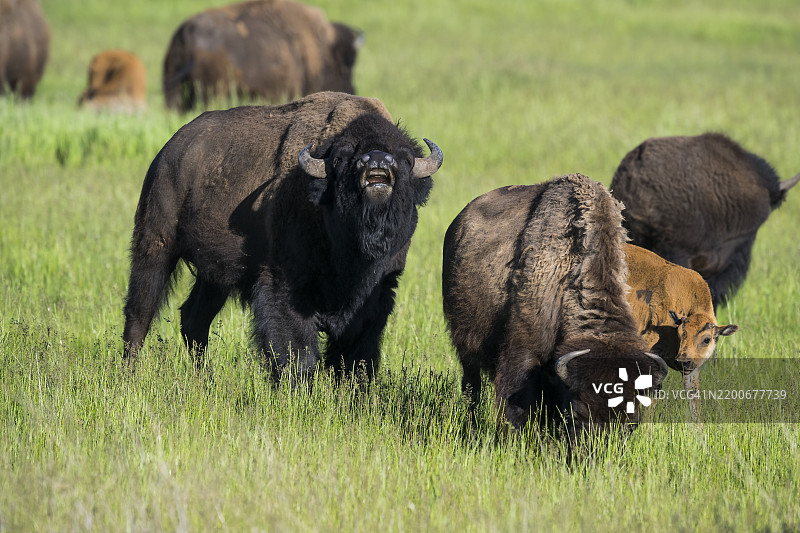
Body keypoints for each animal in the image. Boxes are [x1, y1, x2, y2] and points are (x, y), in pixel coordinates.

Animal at [122, 92, 442, 379]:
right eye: (340, 159)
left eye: (406, 159)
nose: (376, 161)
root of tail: (167, 153)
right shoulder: (285, 285)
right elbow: (296, 349)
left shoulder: (377, 297)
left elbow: (355, 352)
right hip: (155, 247)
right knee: (139, 315)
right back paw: (129, 374)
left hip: (213, 277)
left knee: (193, 320)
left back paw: (205, 378)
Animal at [442, 174, 668, 439]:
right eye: (578, 412)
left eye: (631, 421)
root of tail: (458, 224)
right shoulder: (525, 351)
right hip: (465, 346)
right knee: (471, 387)